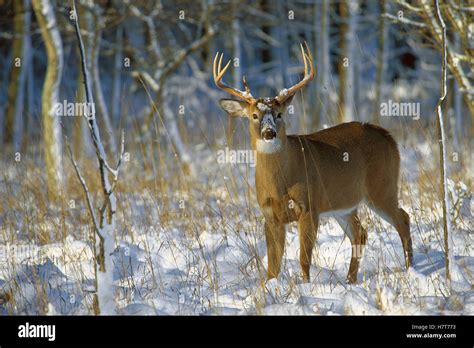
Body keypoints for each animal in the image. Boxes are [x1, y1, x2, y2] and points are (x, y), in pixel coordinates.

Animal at [213, 42, 412, 284]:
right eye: (253, 116)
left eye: (279, 114)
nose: (269, 133)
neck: (280, 183)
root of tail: (388, 136)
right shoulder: (269, 214)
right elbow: (272, 265)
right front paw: (269, 286)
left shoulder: (309, 206)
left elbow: (303, 258)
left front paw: (305, 286)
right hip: (344, 203)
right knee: (360, 232)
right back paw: (350, 280)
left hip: (382, 186)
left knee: (403, 218)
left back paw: (410, 268)